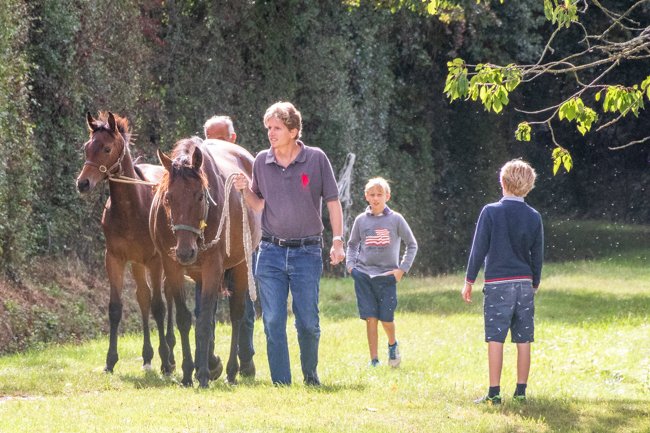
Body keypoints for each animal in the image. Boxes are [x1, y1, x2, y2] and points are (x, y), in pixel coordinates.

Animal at [76, 111, 173, 375]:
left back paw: (169, 353)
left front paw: (166, 361)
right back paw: (147, 357)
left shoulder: (155, 260)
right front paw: (110, 361)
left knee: (165, 298)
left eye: (107, 148)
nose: (82, 183)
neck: (133, 208)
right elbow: (116, 308)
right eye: (86, 147)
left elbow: (159, 306)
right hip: (137, 264)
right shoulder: (115, 259)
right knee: (143, 297)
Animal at [150, 136, 261, 387]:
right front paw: (188, 372)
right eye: (168, 197)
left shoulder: (213, 266)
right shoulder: (172, 267)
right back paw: (211, 362)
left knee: (236, 315)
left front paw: (201, 374)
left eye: (200, 195)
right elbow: (186, 319)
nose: (185, 252)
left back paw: (231, 370)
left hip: (239, 266)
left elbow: (204, 322)